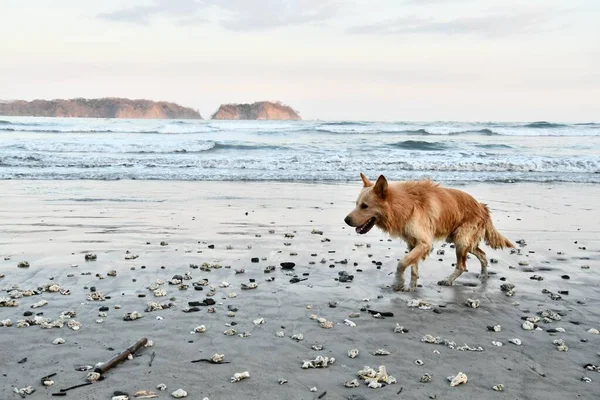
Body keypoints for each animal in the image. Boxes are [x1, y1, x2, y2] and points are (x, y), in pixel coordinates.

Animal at [344, 173, 512, 292]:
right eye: (356, 204)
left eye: (364, 206)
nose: (346, 220)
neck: (404, 205)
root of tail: (482, 207)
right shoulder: (413, 244)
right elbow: (413, 267)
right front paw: (411, 287)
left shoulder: (424, 244)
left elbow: (401, 263)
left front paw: (398, 283)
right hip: (462, 241)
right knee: (482, 254)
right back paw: (483, 274)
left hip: (460, 241)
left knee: (462, 266)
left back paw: (448, 280)